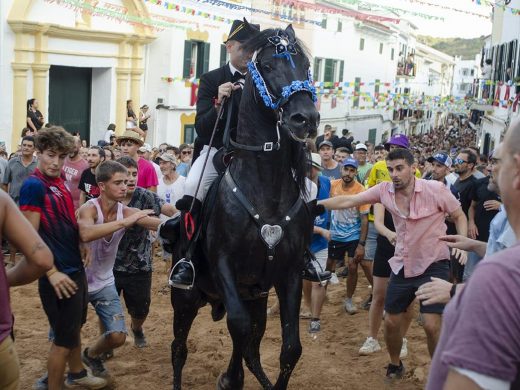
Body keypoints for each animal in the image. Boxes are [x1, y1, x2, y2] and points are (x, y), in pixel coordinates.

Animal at [169, 25, 318, 390]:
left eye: (306, 65)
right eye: (266, 65)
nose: (305, 119)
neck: (266, 189)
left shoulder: (288, 274)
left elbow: (289, 348)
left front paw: (232, 377)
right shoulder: (225, 266)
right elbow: (237, 327)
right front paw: (229, 378)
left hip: (256, 296)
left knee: (252, 345)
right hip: (186, 300)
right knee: (179, 349)